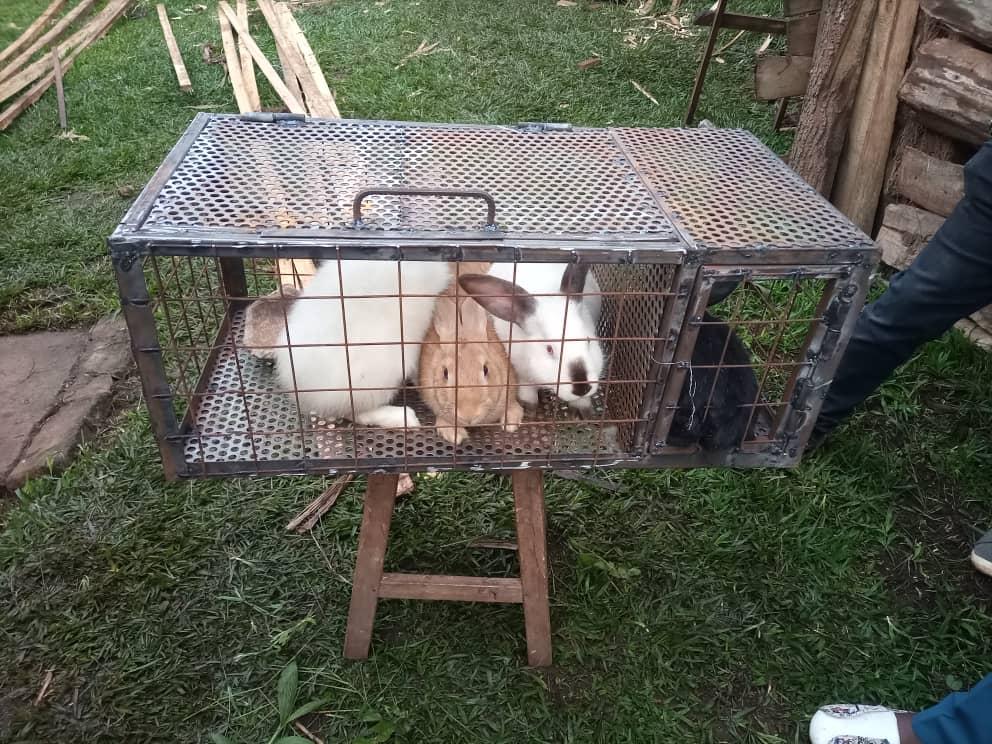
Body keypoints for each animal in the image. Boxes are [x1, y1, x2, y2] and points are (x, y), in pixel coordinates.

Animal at [458, 264, 604, 412]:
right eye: (549, 349)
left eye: (588, 341)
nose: (582, 388)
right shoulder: (521, 370)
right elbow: (527, 387)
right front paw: (529, 406)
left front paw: (583, 408)